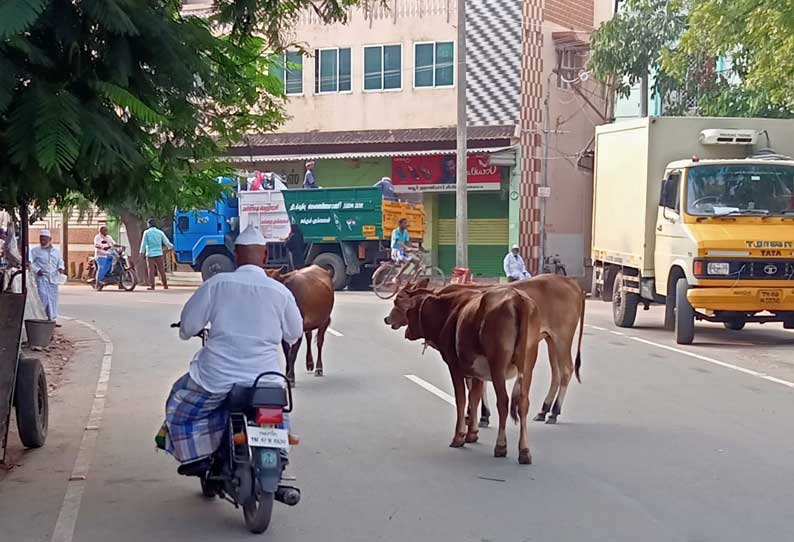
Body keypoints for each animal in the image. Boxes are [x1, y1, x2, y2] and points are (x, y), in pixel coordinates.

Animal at [386, 286, 540, 466]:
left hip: (498, 366)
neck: (446, 310)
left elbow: (461, 400)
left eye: (399, 304)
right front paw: (472, 434)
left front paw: (459, 437)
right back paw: (524, 451)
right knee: (523, 403)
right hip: (528, 365)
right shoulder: (478, 372)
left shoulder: (455, 367)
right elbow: (474, 398)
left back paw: (501, 446)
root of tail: (517, 298)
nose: (387, 319)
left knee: (503, 402)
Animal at [408, 276, 580, 424]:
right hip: (550, 339)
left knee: (566, 369)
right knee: (555, 373)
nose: (406, 330)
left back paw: (554, 412)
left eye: (404, 302)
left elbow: (474, 385)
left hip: (562, 338)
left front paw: (476, 415)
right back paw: (544, 410)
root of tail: (571, 282)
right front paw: (480, 414)